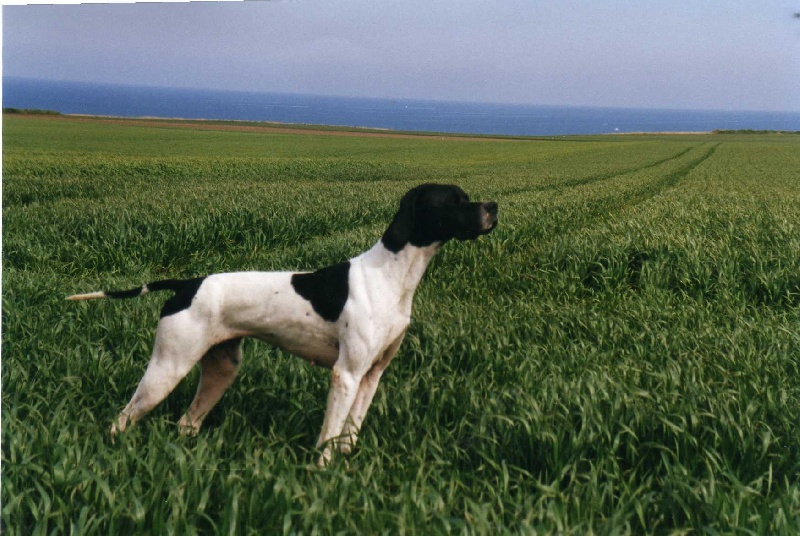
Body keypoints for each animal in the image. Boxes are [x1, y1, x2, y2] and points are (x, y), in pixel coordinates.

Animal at [67, 183, 498, 465]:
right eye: (456, 200)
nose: (494, 206)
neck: (393, 275)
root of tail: (187, 284)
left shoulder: (372, 375)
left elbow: (350, 431)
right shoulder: (346, 374)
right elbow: (330, 435)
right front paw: (322, 475)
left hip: (221, 369)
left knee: (186, 422)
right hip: (167, 367)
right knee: (124, 418)